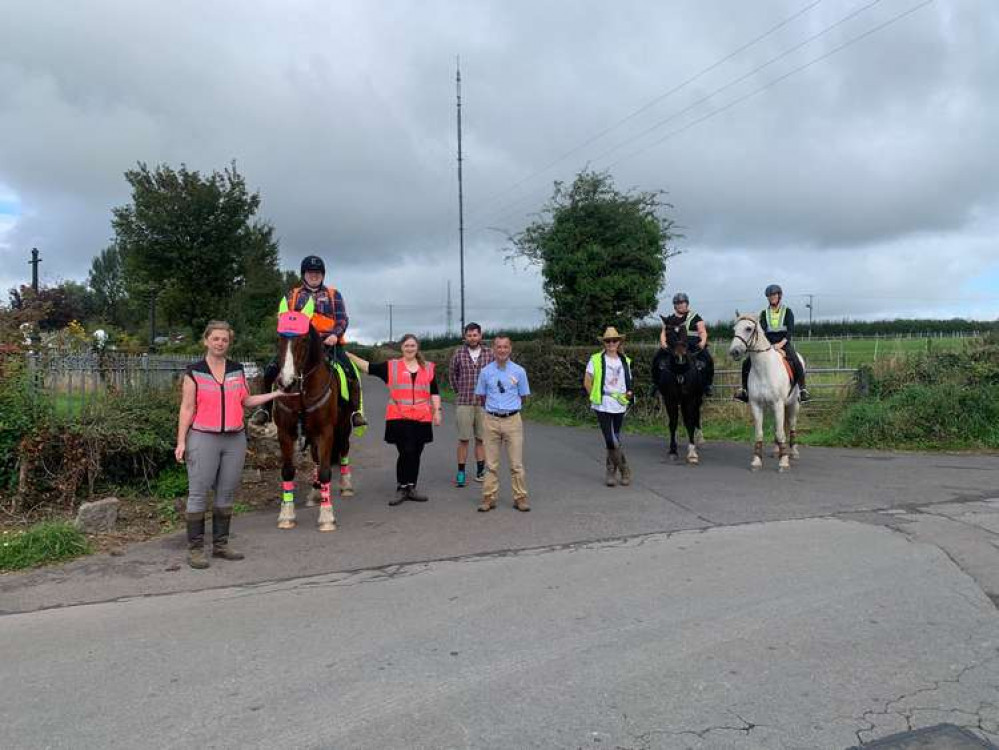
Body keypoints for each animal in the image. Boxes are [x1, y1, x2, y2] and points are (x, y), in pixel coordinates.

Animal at [274, 320, 352, 532]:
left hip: (343, 427)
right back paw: (316, 493)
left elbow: (326, 471)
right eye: (279, 337)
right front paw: (286, 515)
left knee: (343, 449)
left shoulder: (326, 432)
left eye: (304, 340)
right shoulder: (285, 433)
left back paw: (346, 486)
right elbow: (287, 471)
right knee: (317, 459)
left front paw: (326, 517)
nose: (287, 383)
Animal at [652, 324, 708, 464]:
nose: (680, 358)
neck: (680, 373)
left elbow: (690, 422)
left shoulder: (690, 399)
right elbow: (673, 423)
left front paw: (692, 453)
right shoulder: (670, 399)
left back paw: (700, 439)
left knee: (696, 417)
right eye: (669, 335)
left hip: (696, 399)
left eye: (684, 335)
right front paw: (673, 450)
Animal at [728, 318, 804, 476]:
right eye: (734, 329)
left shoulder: (778, 404)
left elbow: (781, 433)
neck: (764, 368)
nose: (734, 351)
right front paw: (756, 462)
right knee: (778, 426)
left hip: (794, 404)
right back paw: (776, 451)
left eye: (749, 328)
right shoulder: (756, 405)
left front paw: (784, 462)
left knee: (792, 426)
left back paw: (793, 452)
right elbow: (760, 433)